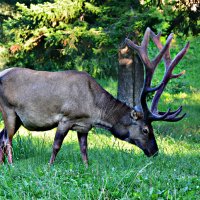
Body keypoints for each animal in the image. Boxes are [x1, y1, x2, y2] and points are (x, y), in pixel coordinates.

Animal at [0, 28, 189, 166]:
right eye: (145, 130)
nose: (155, 151)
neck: (95, 111)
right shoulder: (66, 118)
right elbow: (56, 146)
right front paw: (49, 166)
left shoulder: (84, 126)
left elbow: (84, 149)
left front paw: (86, 167)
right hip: (8, 109)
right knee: (7, 139)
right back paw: (11, 164)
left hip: (18, 118)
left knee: (2, 136)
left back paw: (3, 164)